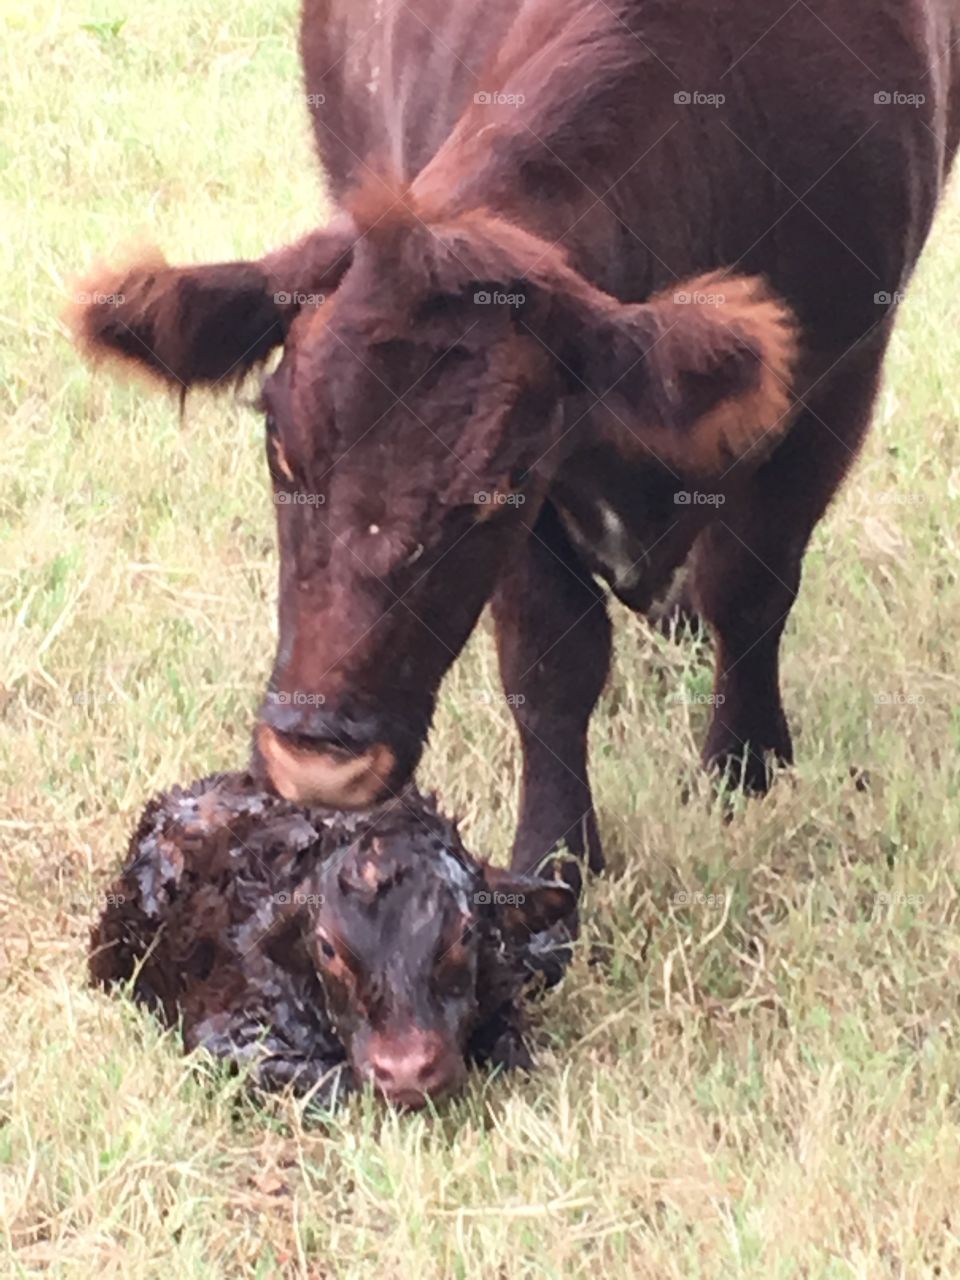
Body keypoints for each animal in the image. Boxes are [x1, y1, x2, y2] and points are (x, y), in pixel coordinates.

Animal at [69, 0, 960, 880]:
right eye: (280, 445)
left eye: (496, 486)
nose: (318, 760)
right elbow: (551, 655)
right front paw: (556, 851)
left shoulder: (836, 384)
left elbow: (749, 588)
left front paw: (745, 767)